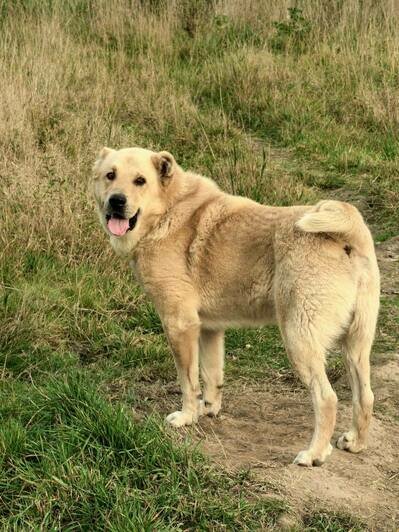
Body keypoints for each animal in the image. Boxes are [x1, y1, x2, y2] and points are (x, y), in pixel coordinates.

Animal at [92, 145, 380, 466]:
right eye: (110, 175)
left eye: (140, 181)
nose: (116, 201)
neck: (168, 209)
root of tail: (348, 235)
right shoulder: (209, 330)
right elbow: (211, 376)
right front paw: (208, 410)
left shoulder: (179, 325)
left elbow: (188, 381)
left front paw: (187, 417)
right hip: (356, 346)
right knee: (364, 396)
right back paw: (355, 442)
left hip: (299, 340)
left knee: (327, 399)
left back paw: (314, 454)